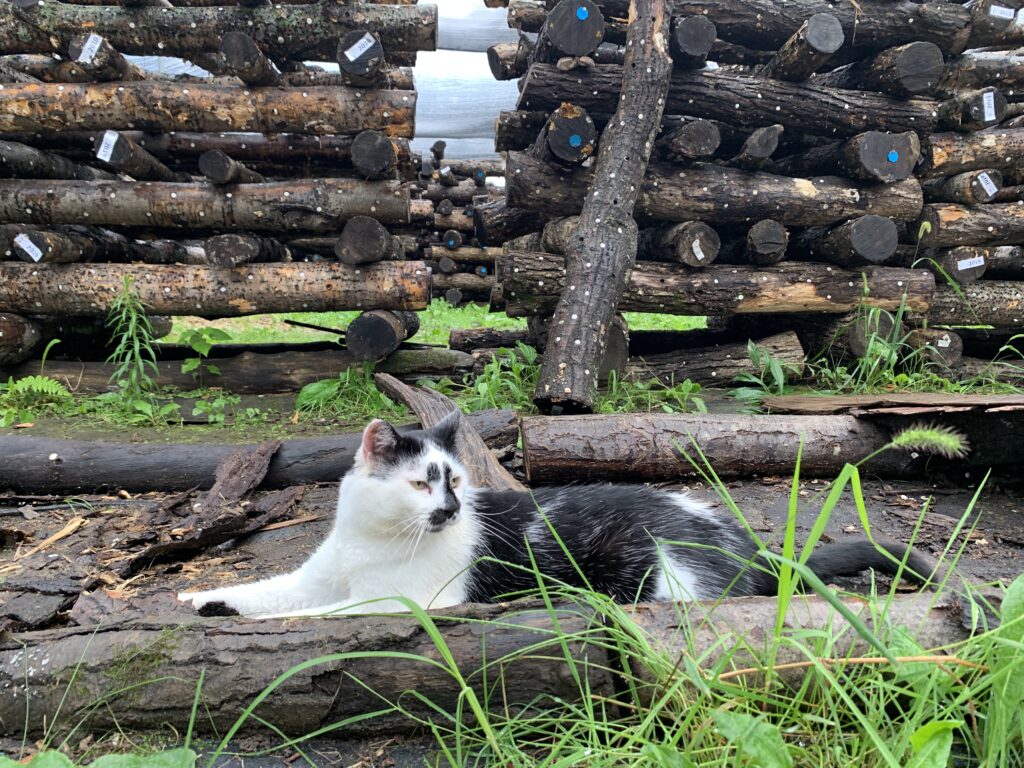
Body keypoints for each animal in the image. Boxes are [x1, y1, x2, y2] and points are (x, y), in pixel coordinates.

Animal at [178, 415, 937, 618]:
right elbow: (267, 593)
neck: (373, 540)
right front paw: (201, 598)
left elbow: (307, 615)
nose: (450, 510)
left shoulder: (400, 603)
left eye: (457, 482)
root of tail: (748, 546)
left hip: (647, 569)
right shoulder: (314, 578)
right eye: (424, 483)